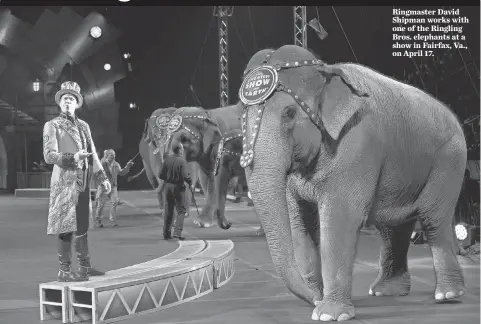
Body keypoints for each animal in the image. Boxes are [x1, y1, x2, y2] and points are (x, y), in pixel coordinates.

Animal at [238, 45, 466, 322]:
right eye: (241, 117)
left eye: (289, 113)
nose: (313, 298)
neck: (324, 70)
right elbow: (301, 221)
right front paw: (318, 303)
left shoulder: (357, 144)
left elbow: (341, 217)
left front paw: (328, 314)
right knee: (393, 227)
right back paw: (386, 291)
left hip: (449, 159)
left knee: (433, 218)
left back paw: (448, 295)